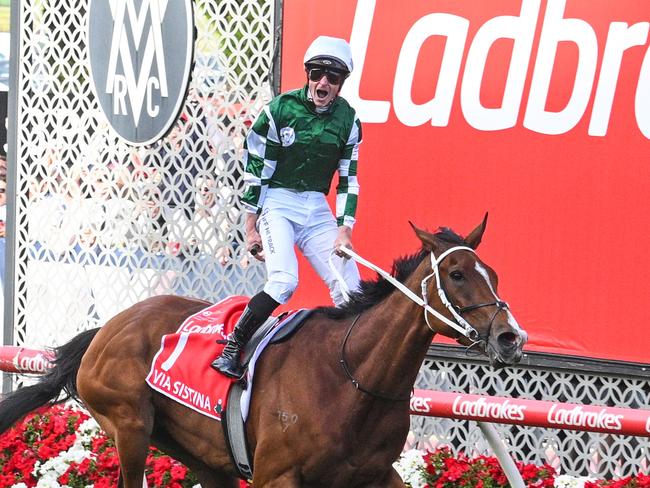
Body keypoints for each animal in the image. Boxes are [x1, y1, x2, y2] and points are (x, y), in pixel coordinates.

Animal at [0, 218, 528, 488]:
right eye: (456, 274)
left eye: (495, 274)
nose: (511, 337)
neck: (353, 378)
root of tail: (107, 328)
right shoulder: (277, 476)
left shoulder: (375, 476)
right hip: (129, 426)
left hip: (202, 455)